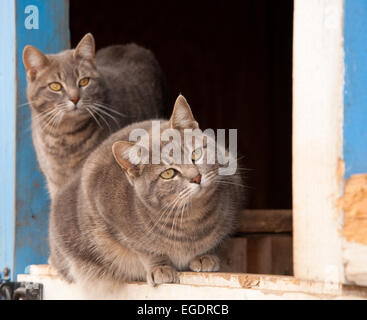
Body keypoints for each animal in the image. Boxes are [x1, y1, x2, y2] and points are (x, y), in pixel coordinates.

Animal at [23, 33, 165, 199]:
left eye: (84, 81)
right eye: (55, 86)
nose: (75, 98)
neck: (65, 138)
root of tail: (131, 45)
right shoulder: (54, 183)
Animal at [49, 94, 244, 288]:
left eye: (195, 154)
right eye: (168, 173)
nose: (196, 177)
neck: (192, 218)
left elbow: (215, 240)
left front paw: (204, 255)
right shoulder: (107, 214)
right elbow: (146, 250)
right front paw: (160, 267)